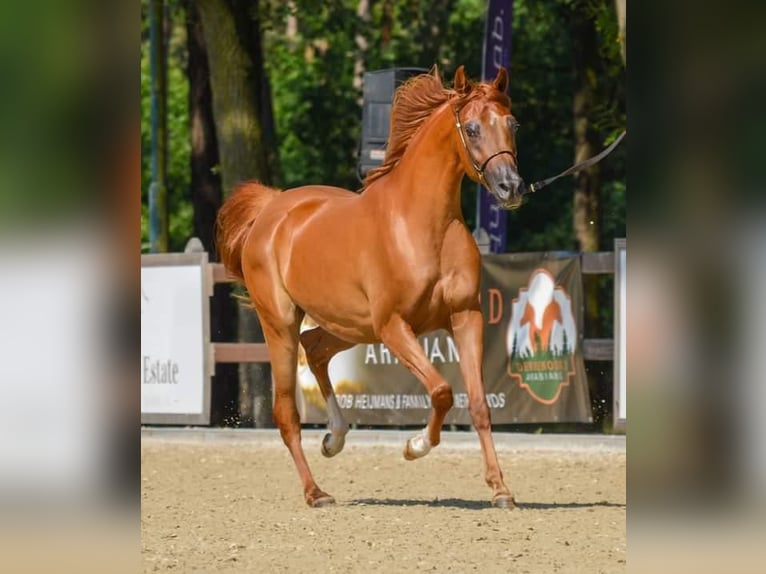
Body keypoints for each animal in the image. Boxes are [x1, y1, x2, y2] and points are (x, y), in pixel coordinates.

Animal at [216, 65, 527, 508]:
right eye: (471, 128)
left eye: (512, 123)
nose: (510, 188)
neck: (423, 225)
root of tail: (271, 209)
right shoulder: (394, 326)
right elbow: (442, 391)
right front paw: (414, 446)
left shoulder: (466, 317)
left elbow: (479, 403)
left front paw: (501, 490)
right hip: (282, 323)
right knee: (286, 411)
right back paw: (316, 492)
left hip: (351, 326)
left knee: (315, 349)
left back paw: (334, 438)